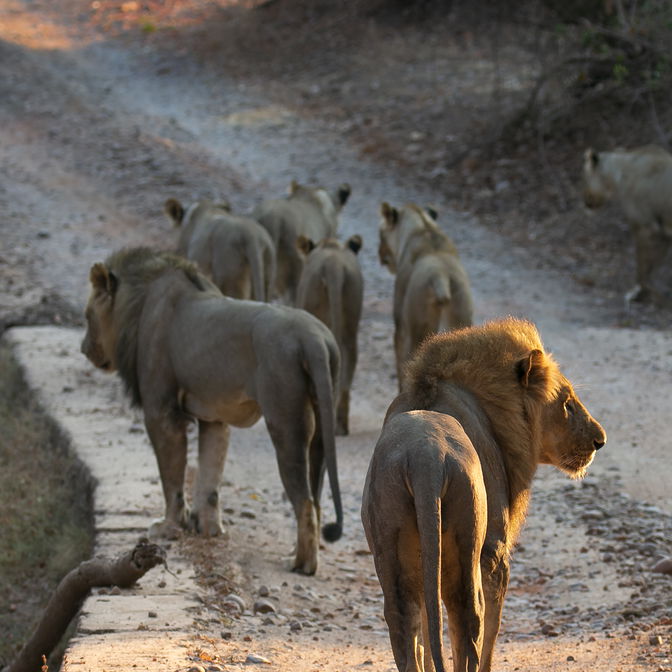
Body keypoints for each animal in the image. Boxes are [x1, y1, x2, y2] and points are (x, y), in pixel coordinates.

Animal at [80, 247, 343, 575]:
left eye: (87, 316)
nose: (83, 349)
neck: (138, 303)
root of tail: (315, 339)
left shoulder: (161, 412)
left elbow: (172, 478)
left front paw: (168, 527)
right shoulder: (214, 417)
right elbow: (209, 475)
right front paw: (207, 528)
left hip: (286, 422)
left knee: (305, 501)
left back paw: (302, 564)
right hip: (321, 419)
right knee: (316, 498)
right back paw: (300, 552)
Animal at [361, 317, 606, 672]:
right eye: (567, 403)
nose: (600, 440)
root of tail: (425, 455)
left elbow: (428, 624)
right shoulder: (496, 549)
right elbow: (492, 625)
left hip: (390, 539)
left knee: (404, 619)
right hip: (468, 535)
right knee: (468, 617)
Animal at [378, 202, 473, 389]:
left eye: (381, 235)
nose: (380, 255)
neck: (423, 226)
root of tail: (442, 277)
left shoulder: (400, 326)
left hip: (418, 334)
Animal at [582, 145, 672, 303]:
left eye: (585, 177)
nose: (585, 200)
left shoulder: (644, 226)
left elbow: (642, 263)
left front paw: (638, 292)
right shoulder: (663, 232)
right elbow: (655, 263)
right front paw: (652, 291)